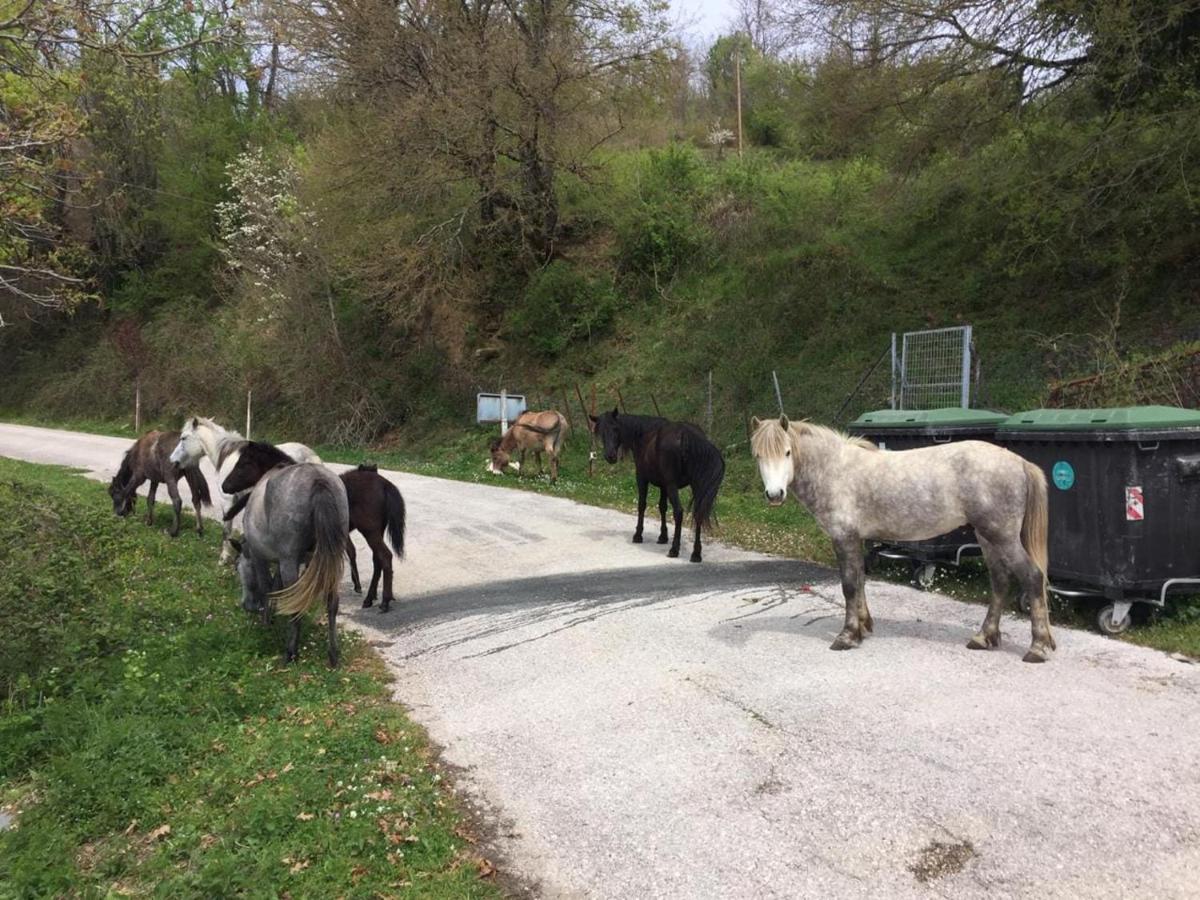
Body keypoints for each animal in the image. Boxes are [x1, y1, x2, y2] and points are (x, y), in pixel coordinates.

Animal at [166, 415, 324, 564]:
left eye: (183, 438)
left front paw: (224, 558)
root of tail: (309, 457)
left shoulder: (228, 501)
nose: (173, 461)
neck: (227, 455)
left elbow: (226, 530)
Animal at [223, 448, 350, 667]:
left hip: (290, 562)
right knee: (332, 603)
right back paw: (333, 654)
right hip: (330, 563)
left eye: (242, 464)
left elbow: (267, 587)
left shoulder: (260, 557)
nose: (225, 485)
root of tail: (318, 480)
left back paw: (291, 652)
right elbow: (277, 586)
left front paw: (266, 622)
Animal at [588, 410, 720, 564]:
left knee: (678, 512)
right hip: (695, 486)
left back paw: (674, 549)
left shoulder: (642, 479)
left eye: (616, 429)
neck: (643, 434)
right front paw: (663, 536)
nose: (610, 456)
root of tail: (687, 436)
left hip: (673, 486)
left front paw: (638, 535)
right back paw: (696, 554)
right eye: (601, 432)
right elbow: (662, 507)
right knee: (698, 512)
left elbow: (642, 505)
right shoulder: (663, 486)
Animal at [753, 415, 1056, 662]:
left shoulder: (844, 538)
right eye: (758, 456)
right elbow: (860, 582)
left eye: (787, 452)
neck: (834, 470)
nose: (774, 495)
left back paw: (1038, 647)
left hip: (1002, 537)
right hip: (988, 538)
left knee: (1032, 577)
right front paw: (864, 627)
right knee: (1000, 582)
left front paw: (848, 636)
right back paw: (984, 637)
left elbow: (849, 586)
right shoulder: (856, 540)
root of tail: (1020, 462)